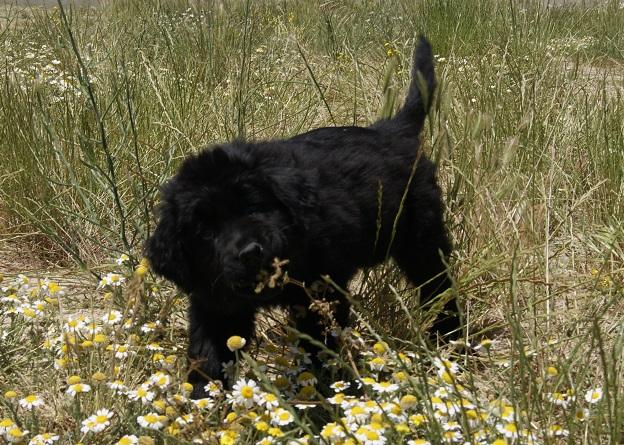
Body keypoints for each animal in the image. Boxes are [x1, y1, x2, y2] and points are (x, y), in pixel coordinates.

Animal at [145, 35, 458, 396]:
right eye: (205, 232)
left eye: (254, 207)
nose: (251, 252)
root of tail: (392, 130)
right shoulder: (216, 305)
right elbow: (207, 356)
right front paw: (203, 400)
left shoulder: (319, 291)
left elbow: (321, 343)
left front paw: (332, 388)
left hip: (421, 238)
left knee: (440, 287)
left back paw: (448, 340)